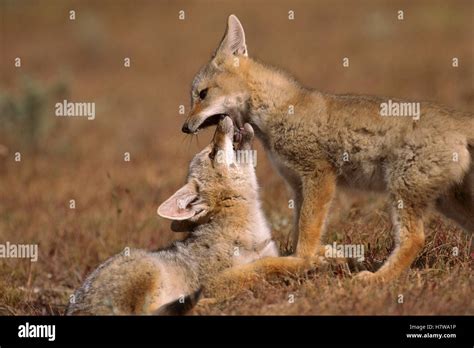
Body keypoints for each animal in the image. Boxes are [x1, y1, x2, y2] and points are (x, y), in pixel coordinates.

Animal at [68, 117, 280, 316]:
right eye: (212, 154)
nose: (220, 119)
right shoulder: (213, 281)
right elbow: (262, 266)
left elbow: (265, 263)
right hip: (148, 268)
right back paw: (212, 303)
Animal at [181, 14, 474, 282]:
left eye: (203, 94)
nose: (184, 127)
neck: (280, 109)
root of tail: (458, 120)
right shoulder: (297, 185)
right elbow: (300, 229)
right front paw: (316, 257)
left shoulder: (318, 175)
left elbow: (307, 234)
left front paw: (300, 261)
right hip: (449, 203)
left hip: (404, 193)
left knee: (414, 239)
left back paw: (376, 279)